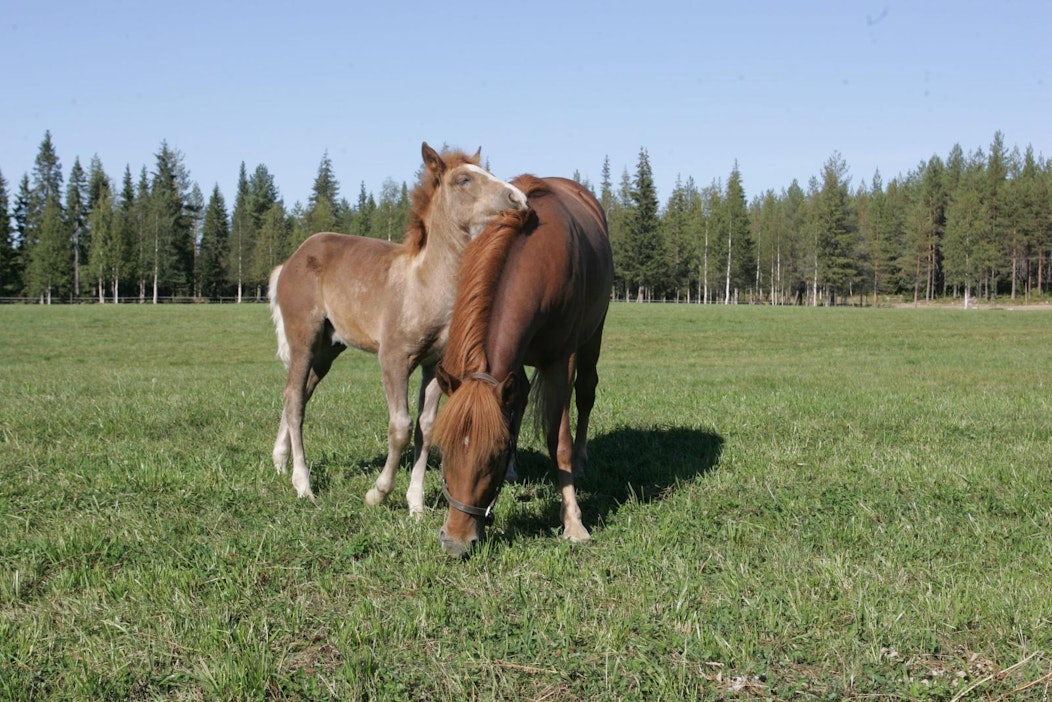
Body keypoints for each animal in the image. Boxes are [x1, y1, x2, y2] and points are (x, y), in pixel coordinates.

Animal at [265, 144, 523, 515]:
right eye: (463, 179)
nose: (518, 198)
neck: (425, 284)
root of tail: (290, 262)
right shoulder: (394, 359)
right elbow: (400, 426)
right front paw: (378, 493)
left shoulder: (435, 364)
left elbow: (426, 428)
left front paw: (416, 505)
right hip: (304, 339)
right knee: (295, 399)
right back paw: (303, 484)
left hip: (329, 348)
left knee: (298, 393)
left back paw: (280, 461)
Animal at [431, 176, 614, 559]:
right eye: (444, 450)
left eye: (494, 455)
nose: (455, 540)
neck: (537, 260)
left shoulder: (561, 362)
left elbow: (558, 441)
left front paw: (573, 521)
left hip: (593, 336)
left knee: (586, 395)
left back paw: (582, 459)